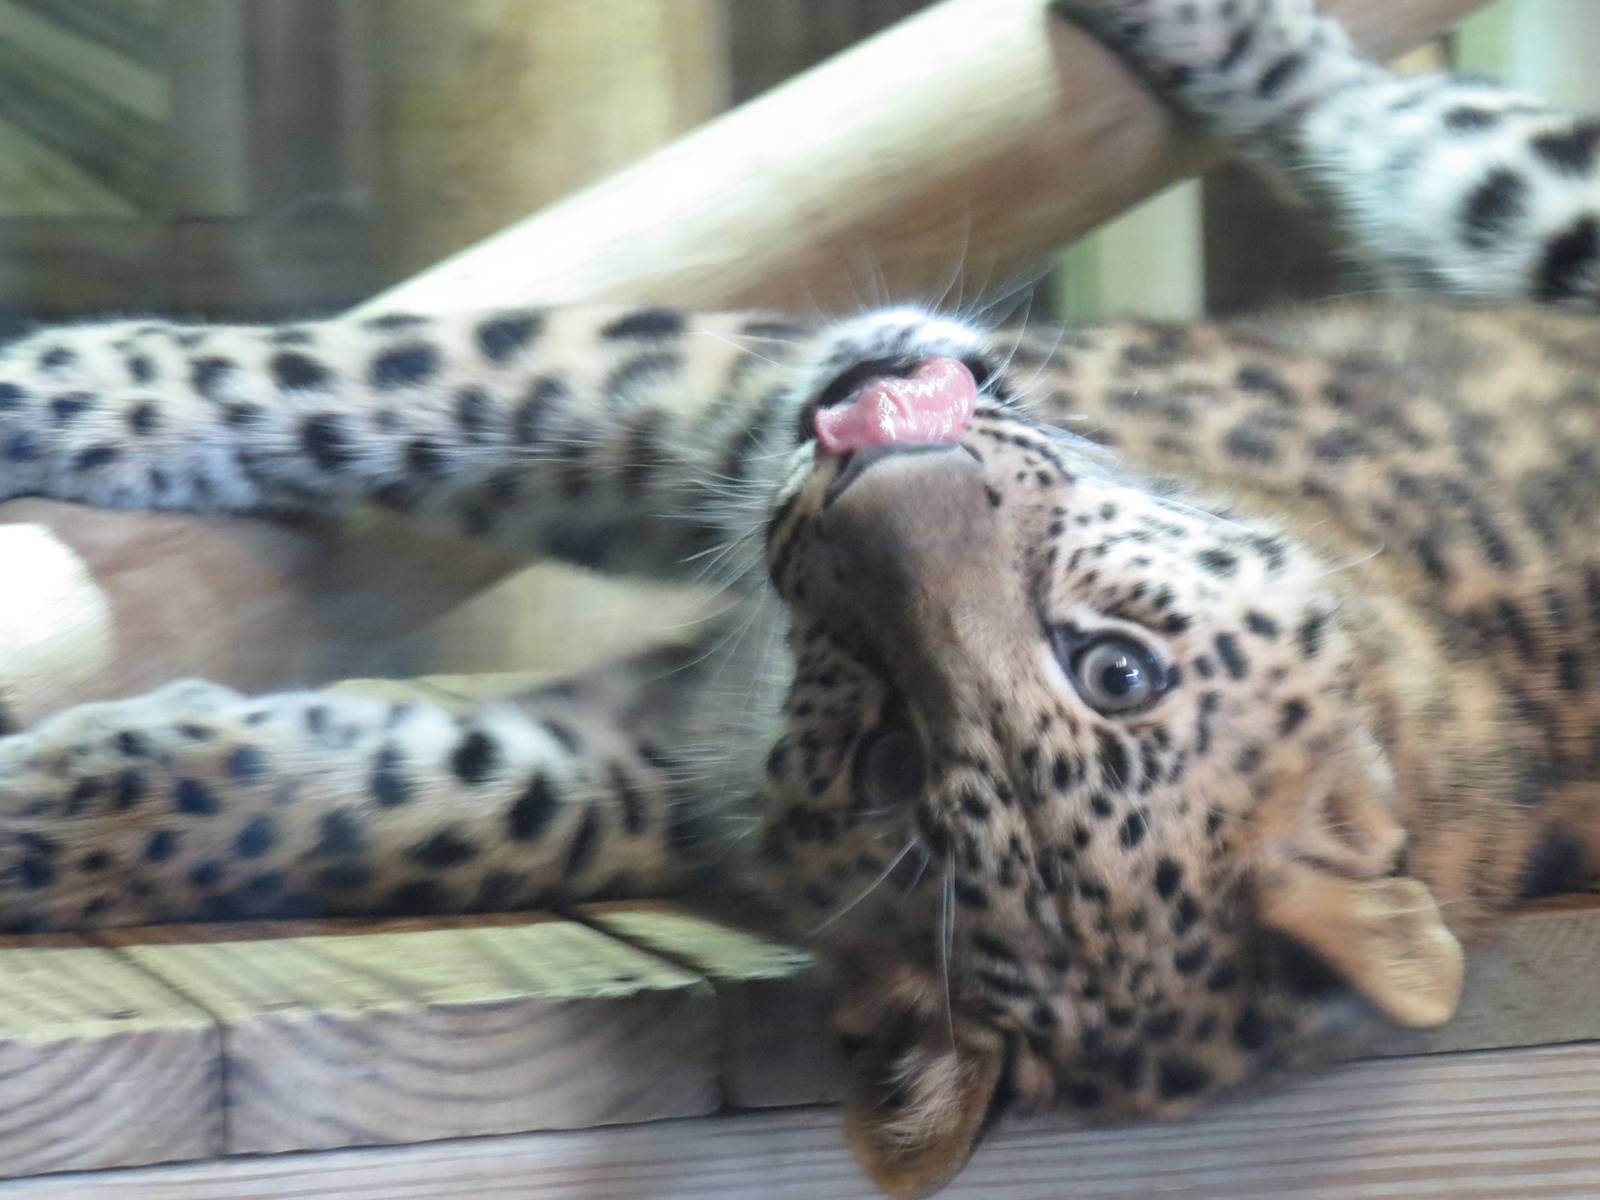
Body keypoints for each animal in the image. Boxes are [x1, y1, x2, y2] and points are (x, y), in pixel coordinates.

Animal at [1, 1, 1599, 1195]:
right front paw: (42, 390)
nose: (864, 483)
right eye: (1116, 666)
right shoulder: (715, 407)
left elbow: (405, 799)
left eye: (894, 762)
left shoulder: (644, 754)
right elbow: (375, 383)